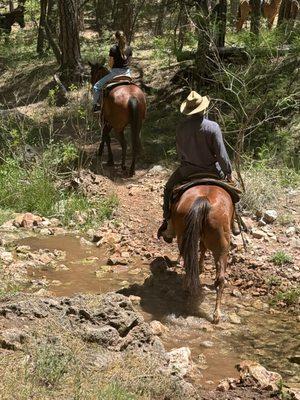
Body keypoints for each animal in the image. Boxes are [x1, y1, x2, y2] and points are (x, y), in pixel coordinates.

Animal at [170, 186, 233, 324]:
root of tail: (204, 200)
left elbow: (202, 248)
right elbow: (203, 248)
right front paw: (202, 268)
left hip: (183, 237)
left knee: (190, 267)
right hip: (222, 247)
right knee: (220, 278)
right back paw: (216, 314)